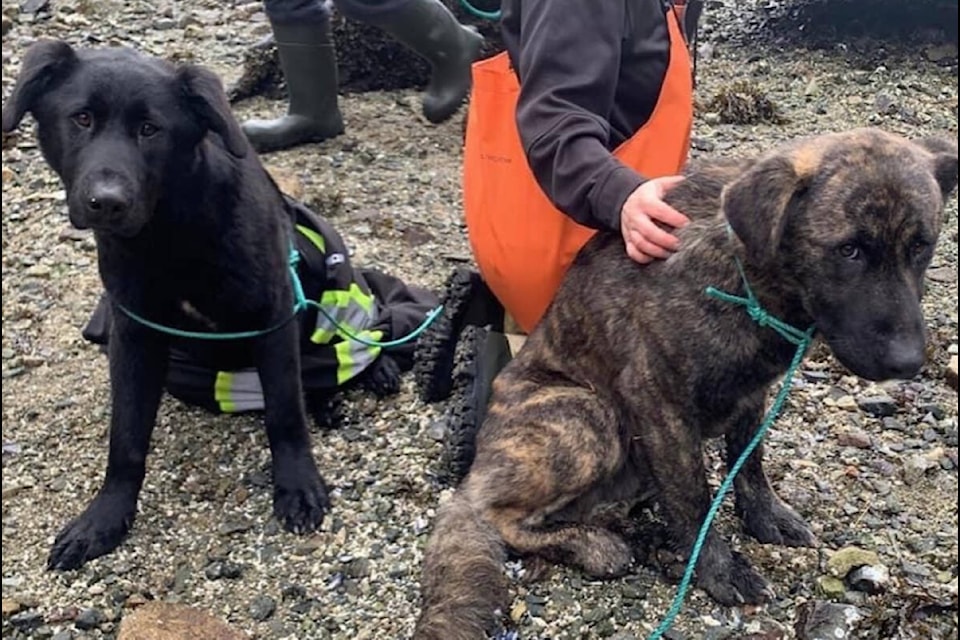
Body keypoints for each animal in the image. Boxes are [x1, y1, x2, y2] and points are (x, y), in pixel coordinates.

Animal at [1, 41, 394, 568]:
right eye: (81, 118)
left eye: (150, 129)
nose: (107, 202)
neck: (169, 233)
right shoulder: (134, 335)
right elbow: (126, 439)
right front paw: (105, 518)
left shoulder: (273, 318)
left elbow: (284, 413)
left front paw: (297, 486)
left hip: (330, 273)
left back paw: (373, 370)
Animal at [416, 127, 956, 636]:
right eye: (849, 250)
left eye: (921, 246)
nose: (909, 362)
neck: (746, 274)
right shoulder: (658, 400)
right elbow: (696, 498)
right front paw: (719, 568)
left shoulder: (752, 395)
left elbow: (749, 465)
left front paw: (765, 517)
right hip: (587, 414)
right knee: (497, 515)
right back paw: (590, 544)